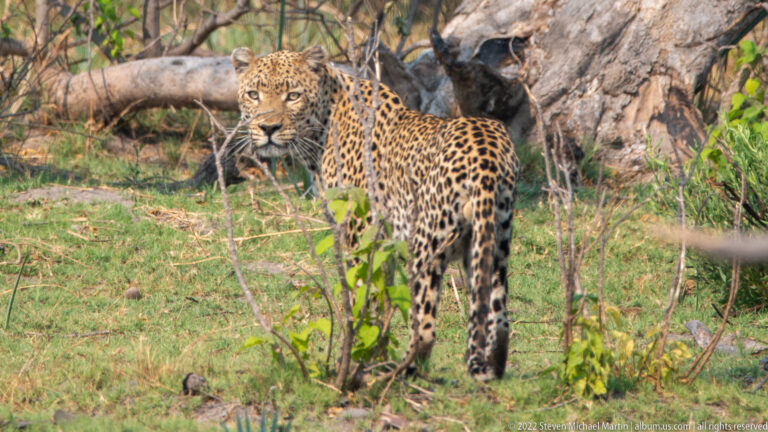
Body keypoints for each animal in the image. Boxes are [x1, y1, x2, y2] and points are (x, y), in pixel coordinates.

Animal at [231, 45, 520, 381]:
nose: (268, 129)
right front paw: (373, 354)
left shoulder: (360, 231)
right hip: (494, 243)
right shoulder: (384, 242)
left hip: (427, 243)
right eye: (254, 94)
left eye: (293, 96)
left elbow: (360, 299)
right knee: (498, 317)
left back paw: (395, 374)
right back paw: (489, 371)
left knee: (424, 327)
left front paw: (354, 359)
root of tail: (488, 154)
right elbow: (382, 301)